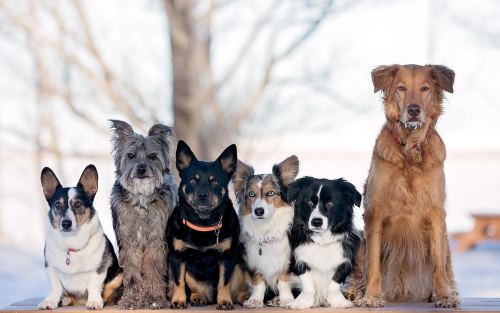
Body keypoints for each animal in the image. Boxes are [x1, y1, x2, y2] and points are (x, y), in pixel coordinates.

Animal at [167, 140, 247, 308]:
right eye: (192, 180)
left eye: (214, 181)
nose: (202, 195)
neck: (202, 223)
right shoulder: (177, 256)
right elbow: (178, 282)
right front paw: (178, 300)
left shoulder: (227, 256)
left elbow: (224, 282)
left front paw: (224, 301)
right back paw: (197, 297)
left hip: (239, 267)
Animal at [350, 64, 458, 308]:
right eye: (401, 88)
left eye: (425, 88)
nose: (414, 110)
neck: (410, 150)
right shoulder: (375, 212)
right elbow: (373, 265)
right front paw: (371, 297)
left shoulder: (436, 212)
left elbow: (438, 265)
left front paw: (444, 296)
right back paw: (356, 293)